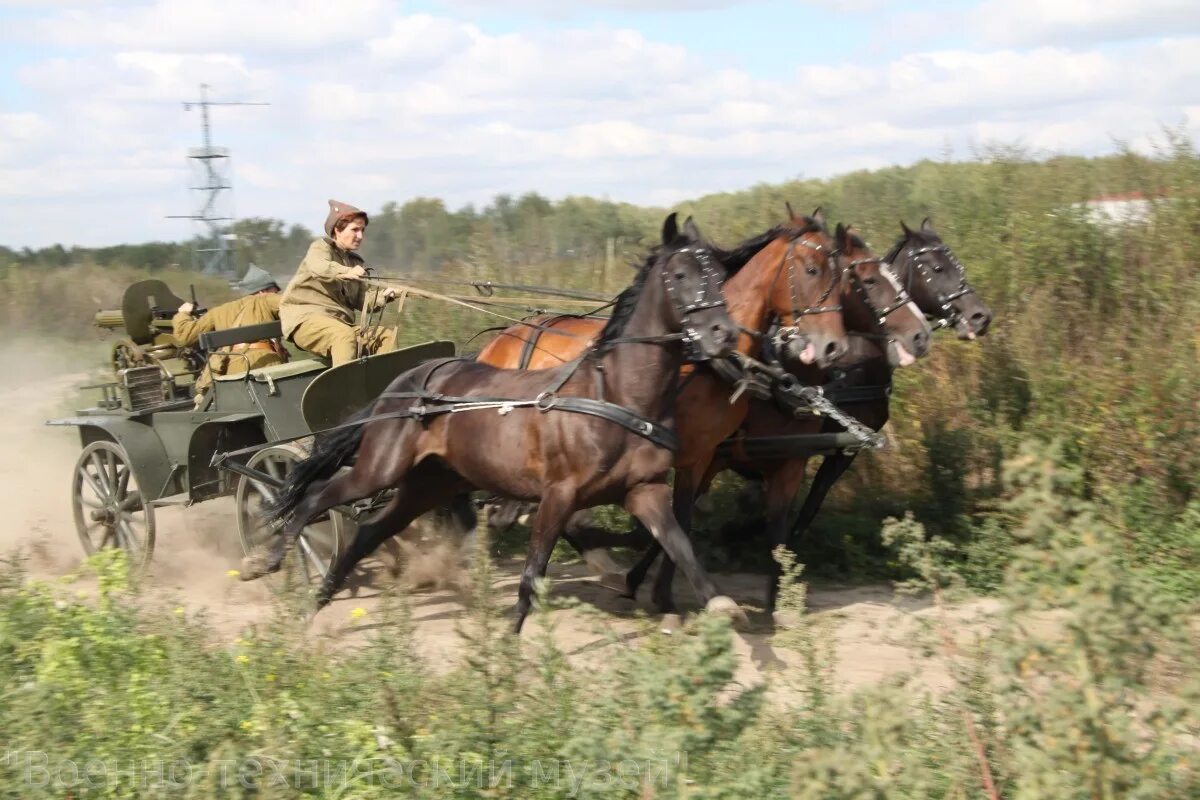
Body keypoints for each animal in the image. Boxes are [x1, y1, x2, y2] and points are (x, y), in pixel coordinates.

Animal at [240, 215, 739, 633]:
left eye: (718, 273)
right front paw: (507, 647)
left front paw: (718, 605)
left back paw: (316, 604)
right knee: (316, 499)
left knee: (367, 532)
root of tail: (401, 384)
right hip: (378, 469)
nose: (724, 333)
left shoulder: (645, 490)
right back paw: (271, 560)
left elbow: (678, 544)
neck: (614, 393)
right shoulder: (559, 494)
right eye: (680, 276)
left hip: (429, 484)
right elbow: (533, 572)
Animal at [624, 214, 988, 618]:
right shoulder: (760, 454)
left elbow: (789, 518)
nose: (979, 317)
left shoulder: (809, 455)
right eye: (937, 268)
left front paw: (778, 586)